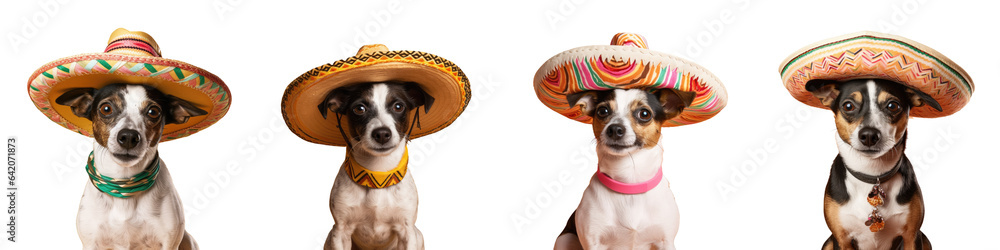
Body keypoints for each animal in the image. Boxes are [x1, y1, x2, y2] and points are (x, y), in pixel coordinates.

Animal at [318, 82, 432, 250]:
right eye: (359, 108)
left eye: (398, 106)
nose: (382, 134)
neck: (377, 174)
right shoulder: (340, 232)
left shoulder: (407, 231)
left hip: (418, 235)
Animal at [556, 88, 696, 250]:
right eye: (602, 111)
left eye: (644, 114)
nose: (615, 129)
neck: (629, 186)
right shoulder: (593, 242)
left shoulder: (665, 241)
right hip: (565, 239)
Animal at [808, 78, 940, 250]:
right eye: (848, 106)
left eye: (892, 105)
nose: (869, 135)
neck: (872, 175)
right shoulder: (842, 240)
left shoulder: (912, 236)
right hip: (829, 243)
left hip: (925, 240)